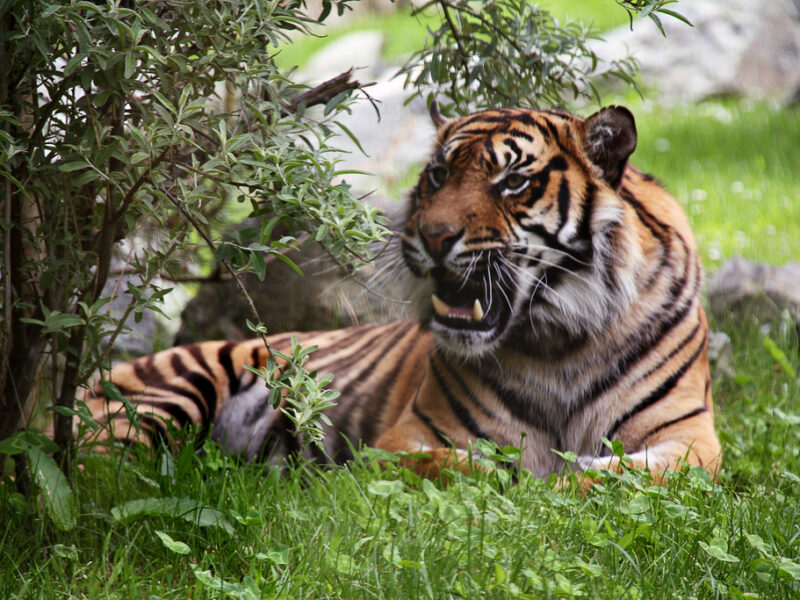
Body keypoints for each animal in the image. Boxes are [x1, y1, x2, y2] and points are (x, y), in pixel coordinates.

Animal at [78, 102, 720, 478]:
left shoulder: (690, 441)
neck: (561, 342)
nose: (433, 236)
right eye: (438, 174)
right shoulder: (410, 441)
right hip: (161, 399)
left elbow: (618, 472)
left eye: (512, 182)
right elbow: (480, 468)